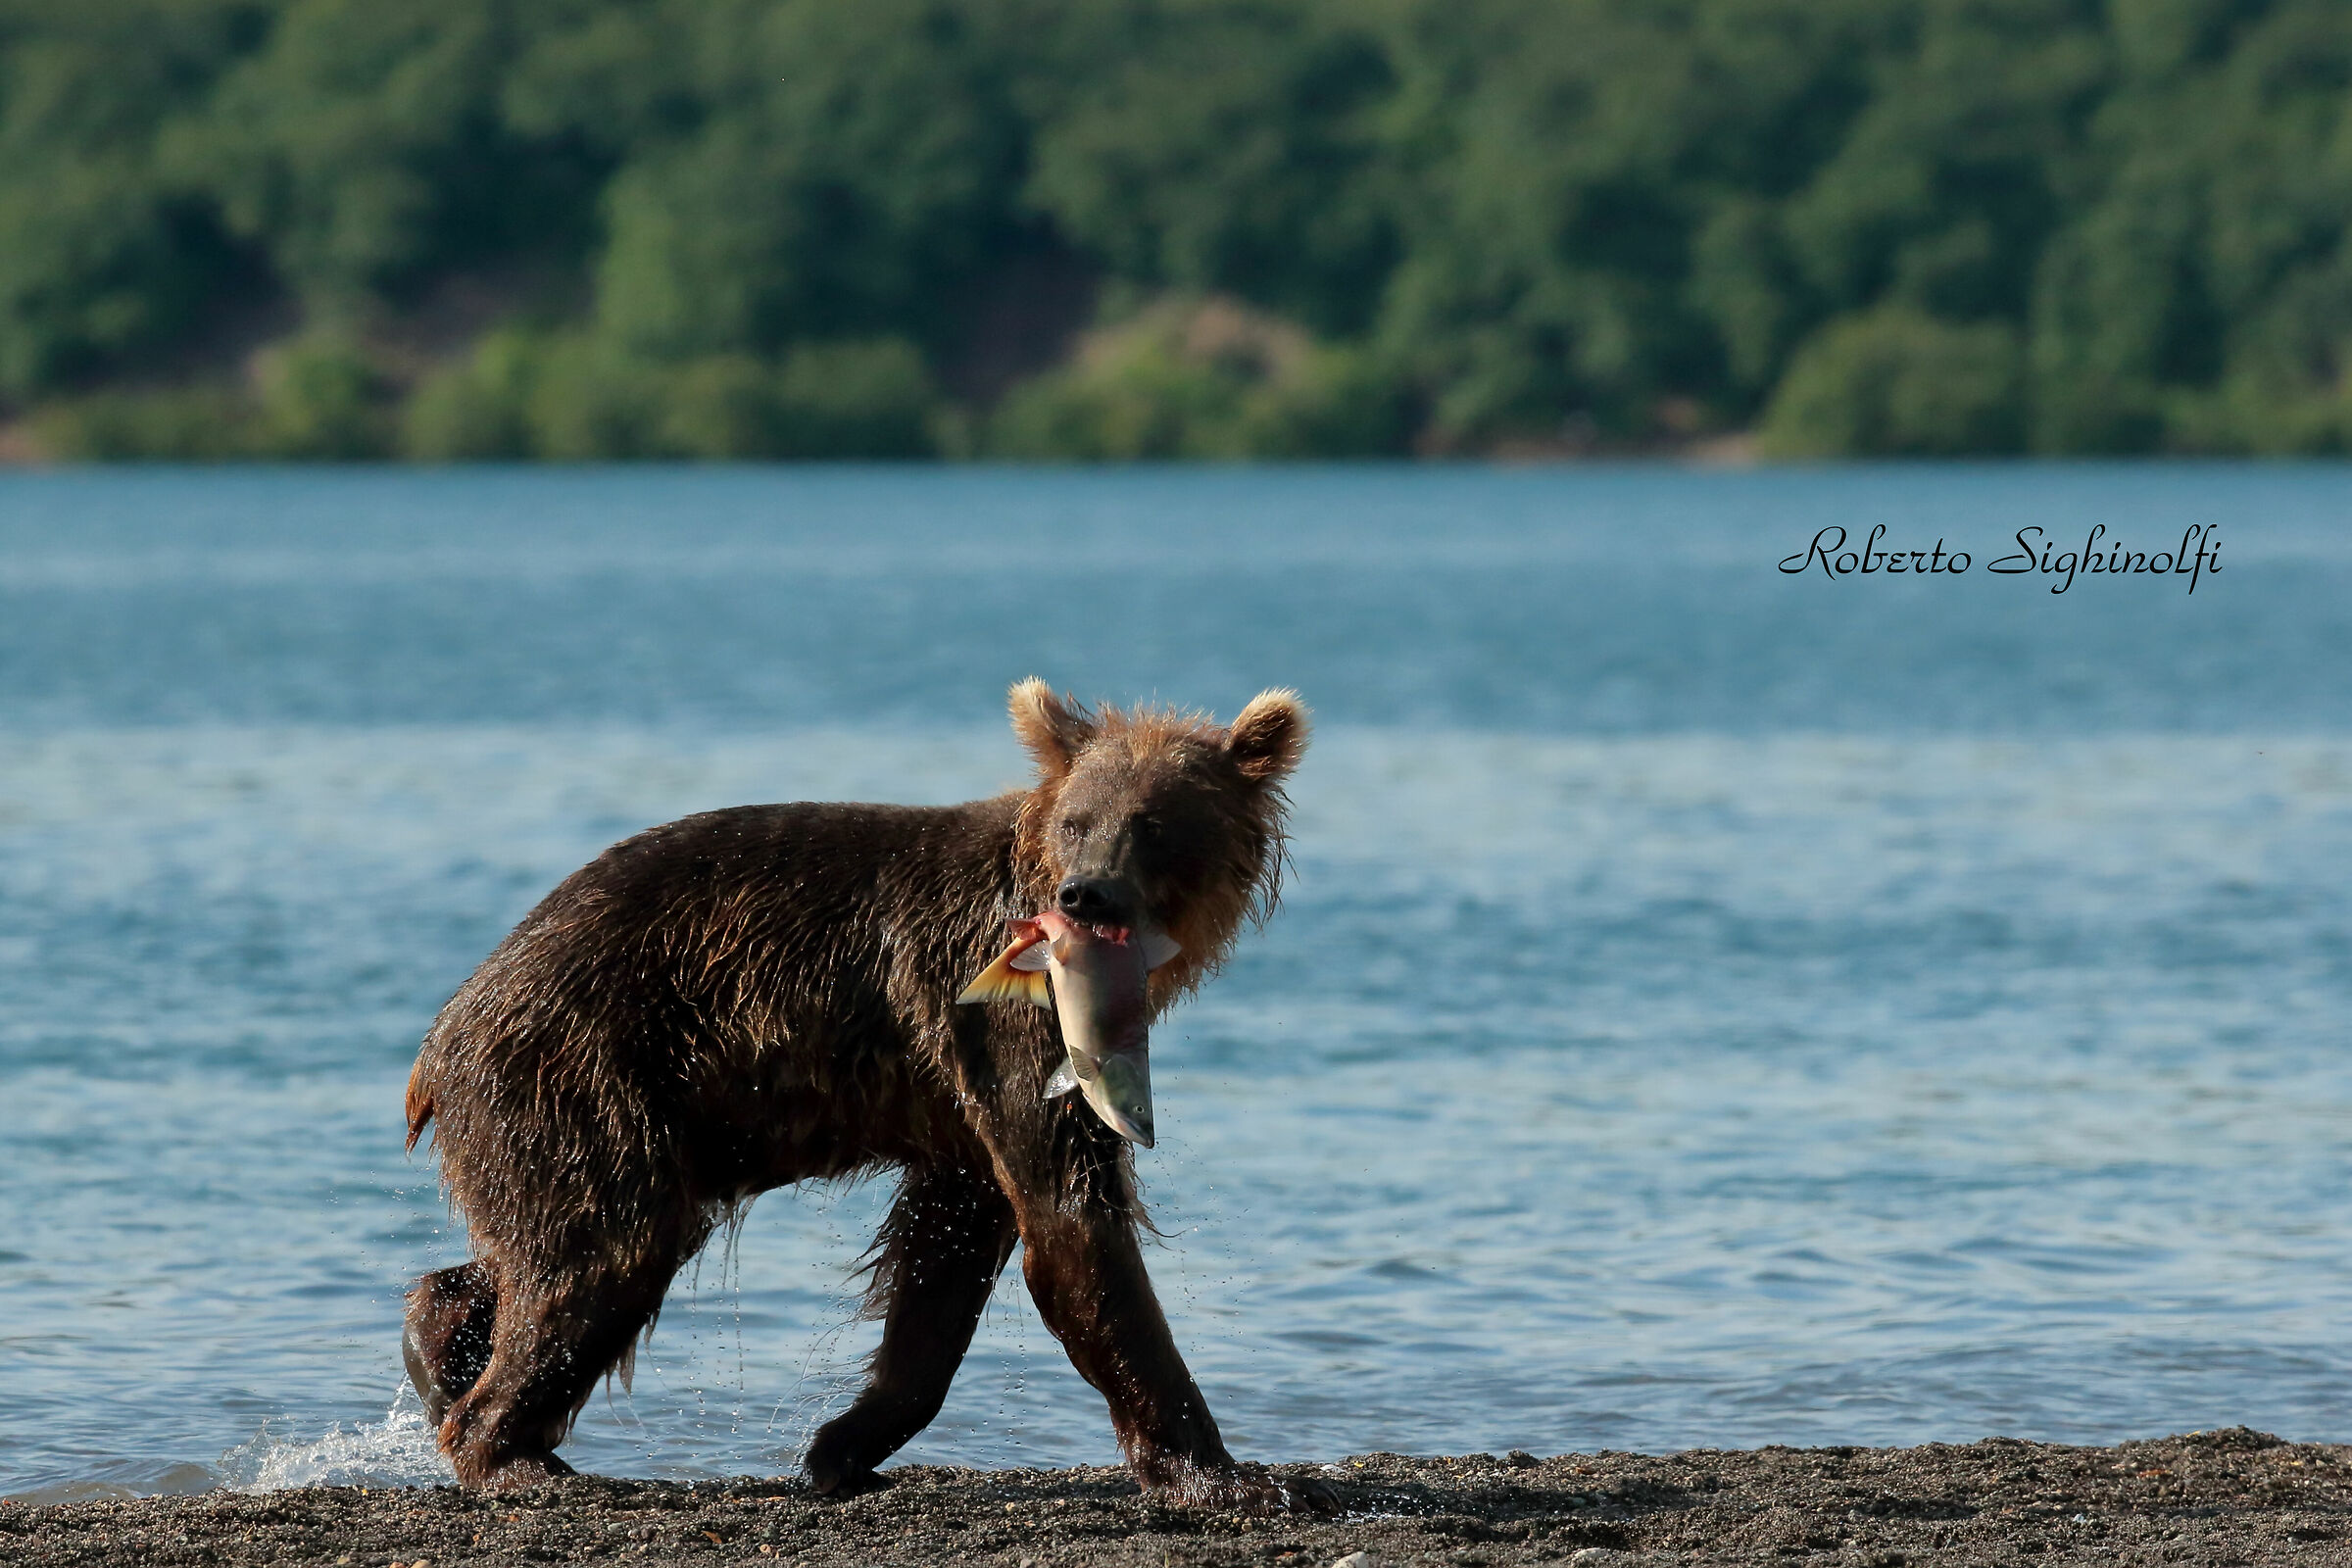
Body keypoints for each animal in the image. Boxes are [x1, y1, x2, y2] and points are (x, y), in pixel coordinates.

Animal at [399, 679, 1314, 1509]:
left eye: (1153, 825)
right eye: (1078, 822)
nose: (1083, 893)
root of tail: (442, 1036)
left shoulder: (959, 1097)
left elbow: (945, 1256)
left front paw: (842, 1446)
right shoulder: (1008, 1017)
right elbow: (1073, 1219)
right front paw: (1229, 1475)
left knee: (547, 1243)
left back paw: (439, 1342)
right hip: (588, 1071)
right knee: (604, 1249)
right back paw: (512, 1453)